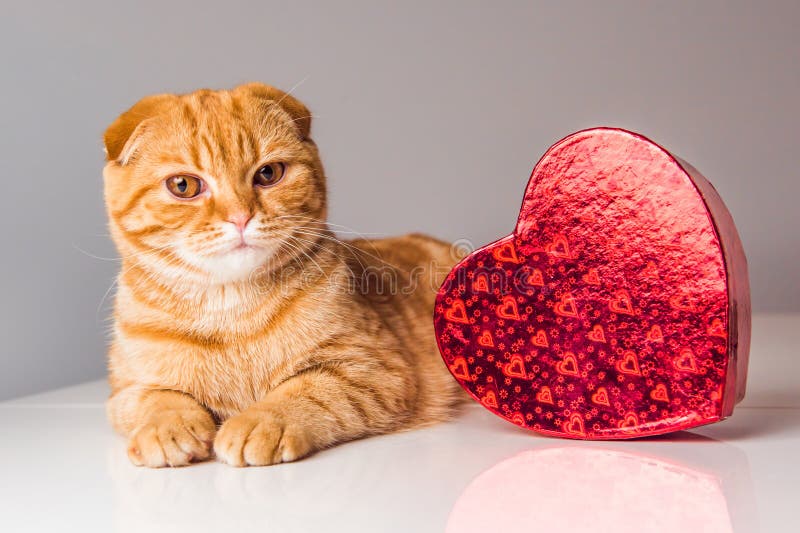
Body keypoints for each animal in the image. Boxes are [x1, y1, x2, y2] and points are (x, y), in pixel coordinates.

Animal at [101, 82, 462, 466]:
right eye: (183, 185)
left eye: (268, 174)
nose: (240, 217)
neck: (230, 314)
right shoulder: (124, 390)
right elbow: (157, 398)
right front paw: (167, 427)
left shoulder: (374, 369)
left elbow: (304, 391)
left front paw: (260, 422)